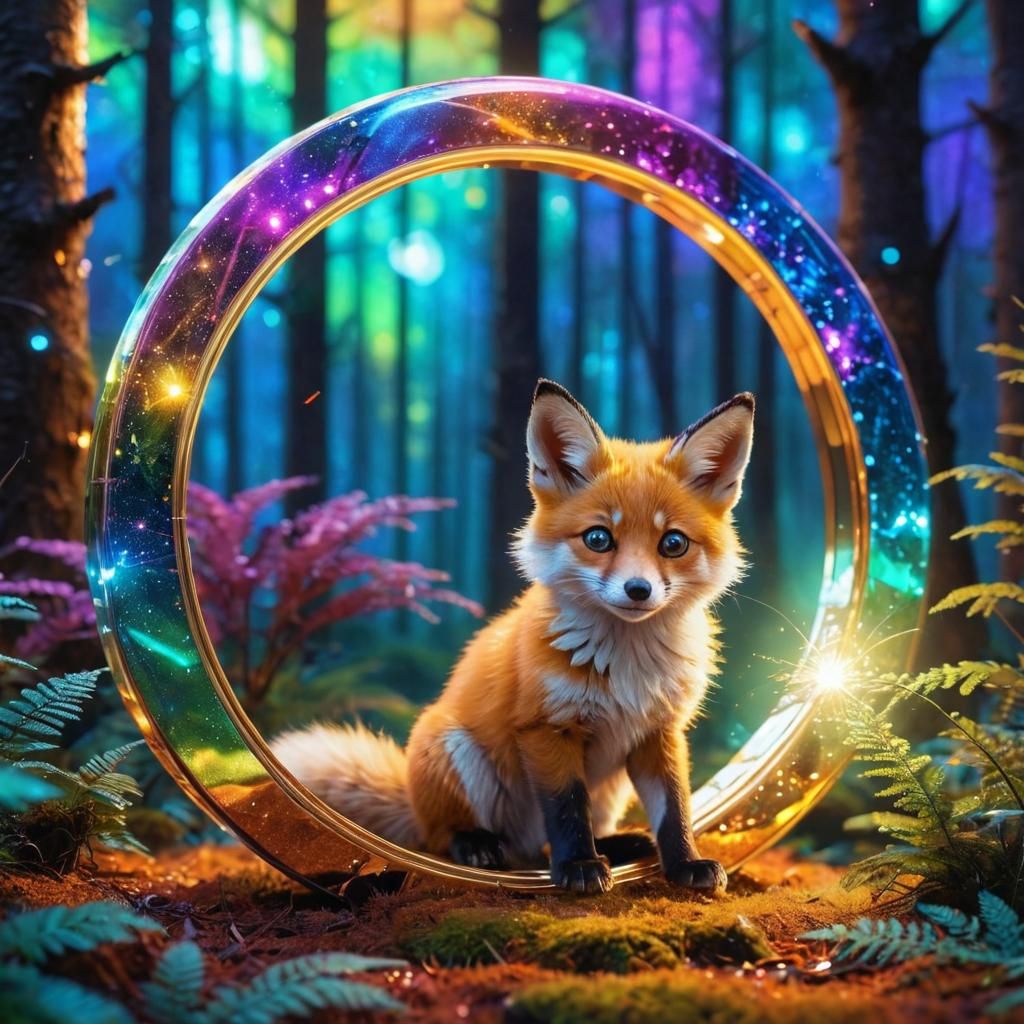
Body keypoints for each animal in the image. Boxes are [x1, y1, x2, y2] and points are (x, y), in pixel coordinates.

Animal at [272, 380, 754, 894]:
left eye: (673, 543)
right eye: (598, 538)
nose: (638, 590)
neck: (627, 667)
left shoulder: (659, 730)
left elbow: (675, 807)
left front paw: (686, 864)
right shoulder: (544, 726)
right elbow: (567, 808)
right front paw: (579, 866)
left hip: (611, 787)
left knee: (554, 838)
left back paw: (617, 845)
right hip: (456, 751)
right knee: (451, 838)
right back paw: (477, 846)